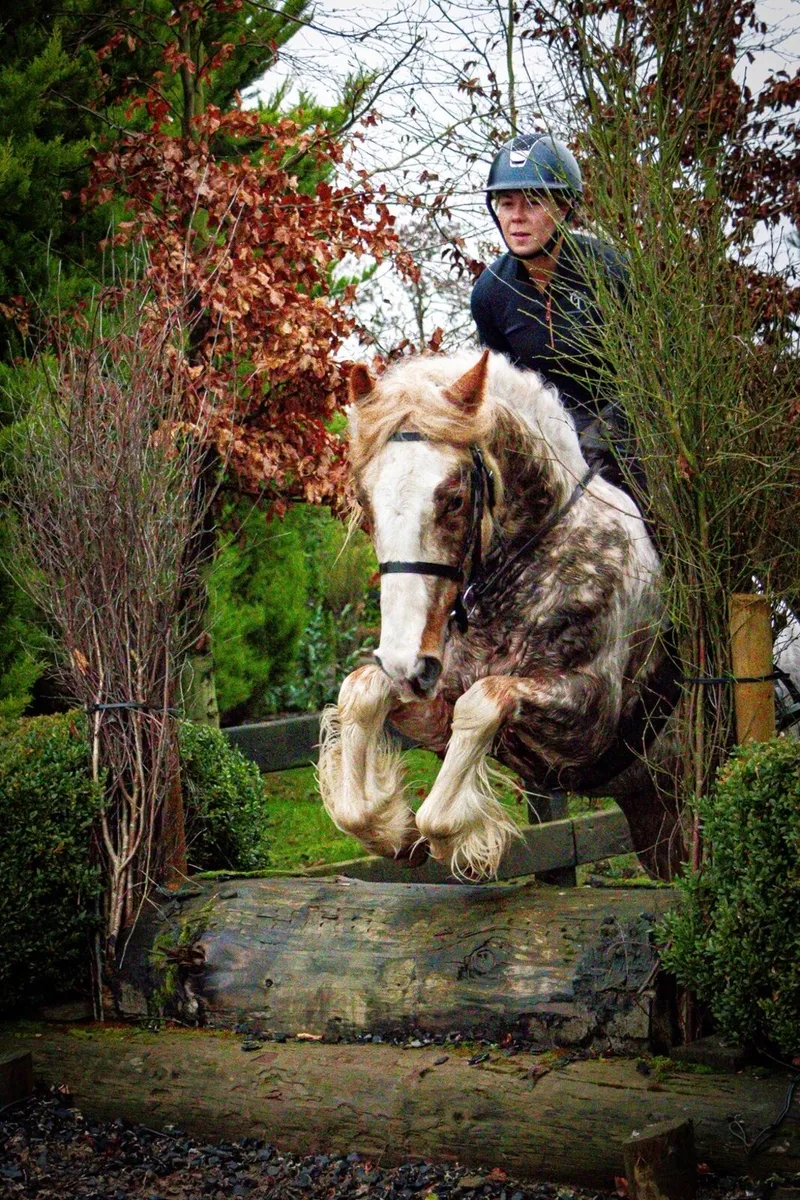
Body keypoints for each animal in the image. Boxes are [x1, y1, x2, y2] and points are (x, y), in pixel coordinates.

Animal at [318, 348, 689, 882]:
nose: (406, 664)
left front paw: (466, 843)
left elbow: (482, 705)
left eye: (454, 499)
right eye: (365, 501)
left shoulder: (590, 724)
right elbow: (362, 691)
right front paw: (396, 830)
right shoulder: (437, 699)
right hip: (662, 819)